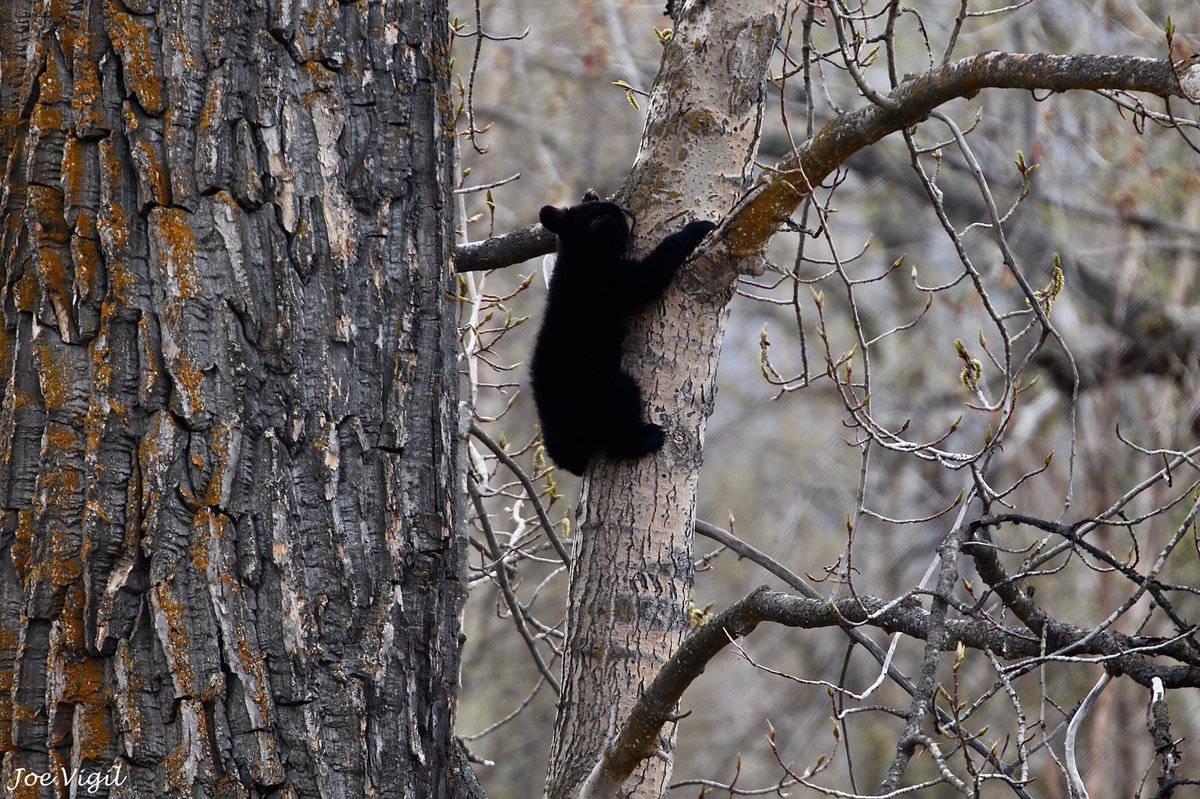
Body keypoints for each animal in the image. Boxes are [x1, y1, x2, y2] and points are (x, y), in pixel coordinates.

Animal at [530, 191, 717, 476]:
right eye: (621, 214)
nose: (632, 212)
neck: (581, 254)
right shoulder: (611, 281)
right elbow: (649, 275)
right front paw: (697, 229)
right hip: (600, 389)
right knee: (620, 409)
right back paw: (645, 438)